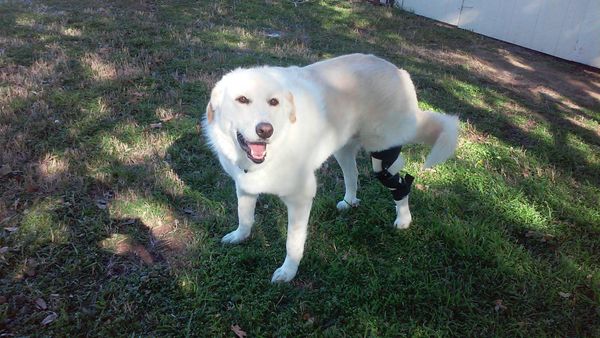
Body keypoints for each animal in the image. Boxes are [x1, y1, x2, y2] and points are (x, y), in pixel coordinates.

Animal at [203, 53, 460, 282]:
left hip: (382, 155)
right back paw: (349, 201)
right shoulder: (244, 186)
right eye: (242, 100)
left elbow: (292, 243)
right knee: (353, 175)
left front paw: (288, 272)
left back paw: (404, 220)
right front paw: (240, 236)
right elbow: (245, 217)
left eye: (273, 102)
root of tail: (398, 70)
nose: (265, 130)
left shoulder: (301, 199)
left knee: (401, 185)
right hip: (343, 150)